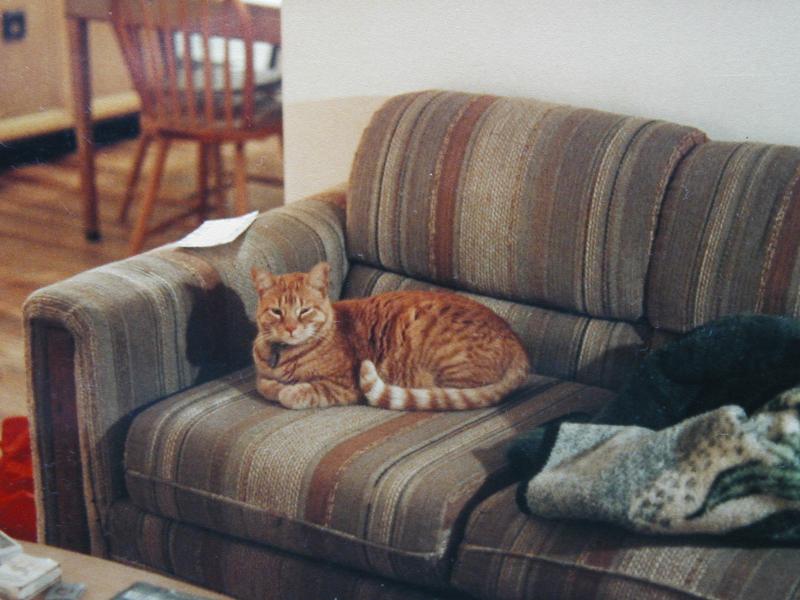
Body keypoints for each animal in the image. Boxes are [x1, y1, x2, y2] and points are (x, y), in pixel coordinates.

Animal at [252, 260, 532, 410]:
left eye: (304, 310)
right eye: (277, 311)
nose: (290, 328)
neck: (283, 355)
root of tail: (517, 342)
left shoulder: (343, 386)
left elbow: (294, 392)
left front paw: (286, 390)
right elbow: (263, 384)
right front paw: (275, 385)